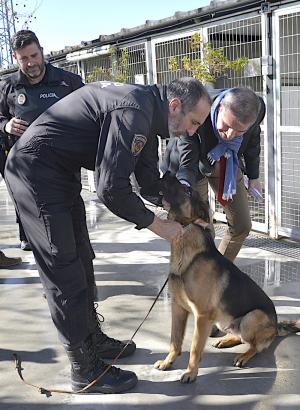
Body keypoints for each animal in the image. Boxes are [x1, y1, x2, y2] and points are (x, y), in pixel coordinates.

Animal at [155, 174, 300, 384]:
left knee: (256, 346)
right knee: (239, 336)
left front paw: (191, 372)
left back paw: (243, 356)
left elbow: (194, 348)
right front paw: (168, 362)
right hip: (223, 320)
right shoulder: (178, 309)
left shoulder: (201, 316)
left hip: (251, 317)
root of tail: (275, 326)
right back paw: (225, 340)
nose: (167, 173)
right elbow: (175, 341)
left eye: (187, 190)